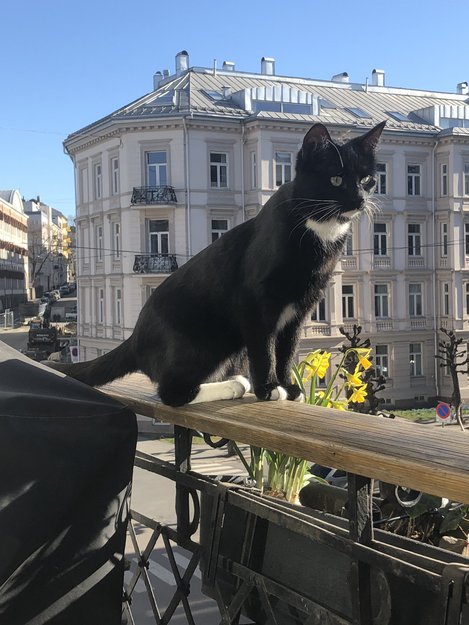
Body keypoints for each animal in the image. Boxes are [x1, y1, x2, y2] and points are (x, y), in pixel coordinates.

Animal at [50, 121, 385, 406]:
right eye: (336, 178)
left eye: (368, 179)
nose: (359, 200)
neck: (318, 227)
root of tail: (134, 339)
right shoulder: (256, 303)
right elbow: (265, 350)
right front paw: (268, 389)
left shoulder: (298, 311)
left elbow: (286, 350)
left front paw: (289, 387)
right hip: (205, 342)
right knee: (172, 392)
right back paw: (236, 384)